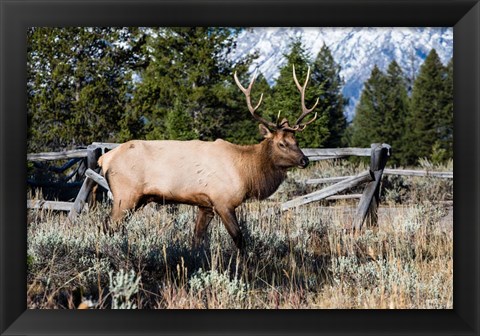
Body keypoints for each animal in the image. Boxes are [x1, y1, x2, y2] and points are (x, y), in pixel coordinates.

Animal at [98, 65, 318, 249]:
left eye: (296, 141)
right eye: (282, 143)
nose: (304, 160)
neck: (247, 172)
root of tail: (105, 158)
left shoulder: (206, 205)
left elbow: (197, 238)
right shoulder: (223, 201)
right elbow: (239, 239)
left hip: (136, 199)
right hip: (125, 196)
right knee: (108, 226)